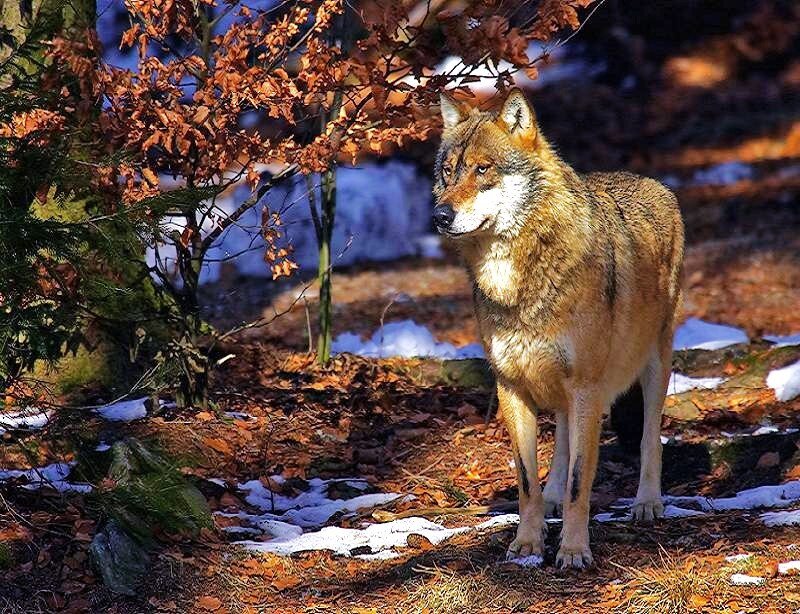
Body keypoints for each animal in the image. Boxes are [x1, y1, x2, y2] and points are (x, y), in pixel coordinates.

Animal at [433, 89, 684, 569]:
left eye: (483, 169)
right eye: (448, 170)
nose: (439, 215)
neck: (515, 279)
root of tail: (650, 182)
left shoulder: (586, 386)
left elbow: (579, 481)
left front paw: (573, 549)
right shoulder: (510, 385)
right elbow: (527, 480)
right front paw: (527, 543)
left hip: (653, 365)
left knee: (650, 440)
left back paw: (647, 503)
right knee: (563, 445)